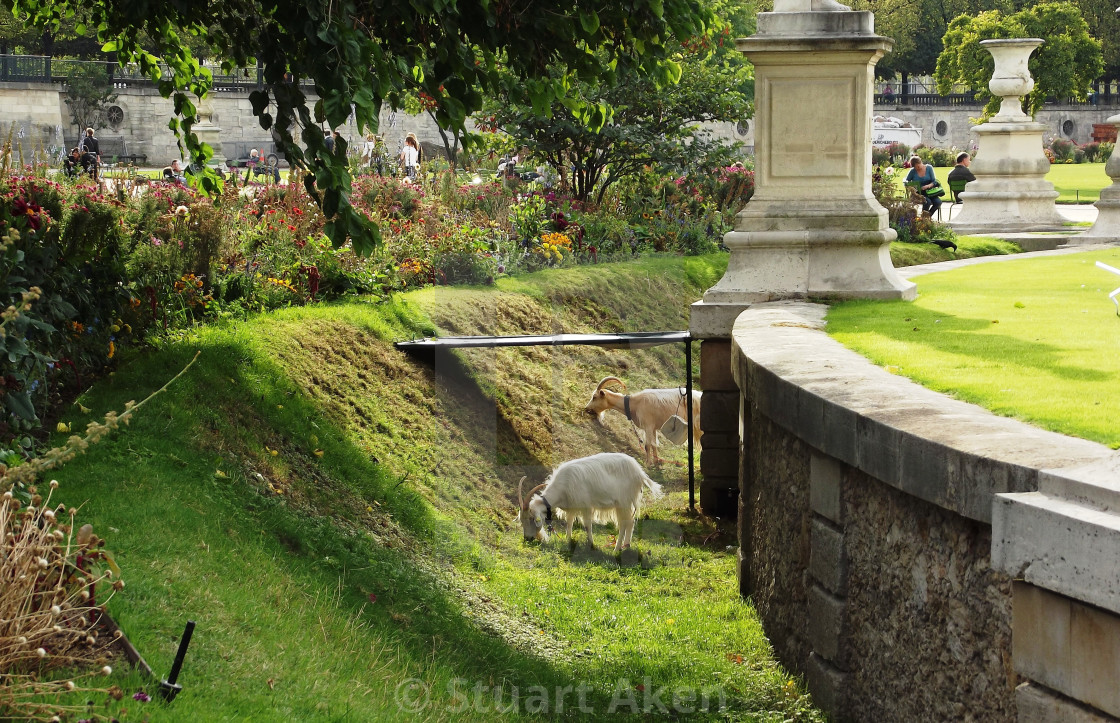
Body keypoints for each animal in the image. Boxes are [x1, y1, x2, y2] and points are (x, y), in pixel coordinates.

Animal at [517, 456, 663, 552]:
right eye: (521, 520)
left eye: (531, 519)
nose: (527, 539)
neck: (562, 487)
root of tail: (640, 473)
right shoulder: (572, 507)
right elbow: (569, 523)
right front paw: (568, 539)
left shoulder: (586, 505)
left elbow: (587, 525)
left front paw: (591, 544)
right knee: (630, 522)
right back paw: (626, 546)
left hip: (623, 501)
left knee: (624, 524)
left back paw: (616, 549)